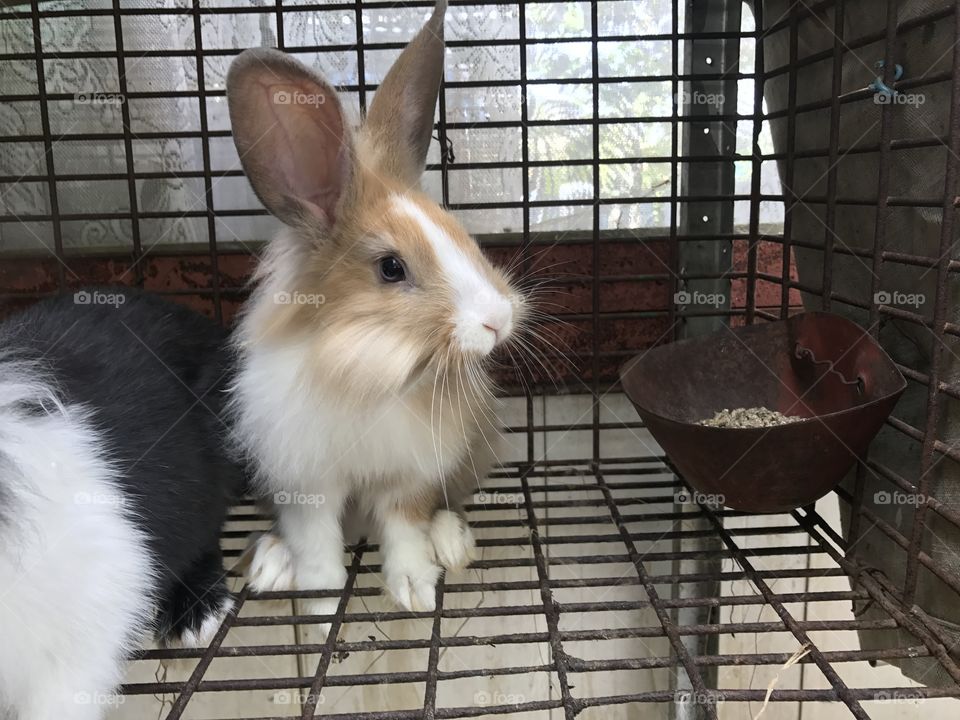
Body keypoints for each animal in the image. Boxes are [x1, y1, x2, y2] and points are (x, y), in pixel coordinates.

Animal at [225, 0, 526, 628]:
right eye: (391, 268)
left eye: (460, 232)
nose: (498, 321)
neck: (367, 363)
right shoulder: (304, 485)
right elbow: (316, 546)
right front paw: (318, 602)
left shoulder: (410, 478)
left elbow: (405, 530)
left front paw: (414, 589)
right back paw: (270, 561)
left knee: (447, 506)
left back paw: (453, 543)